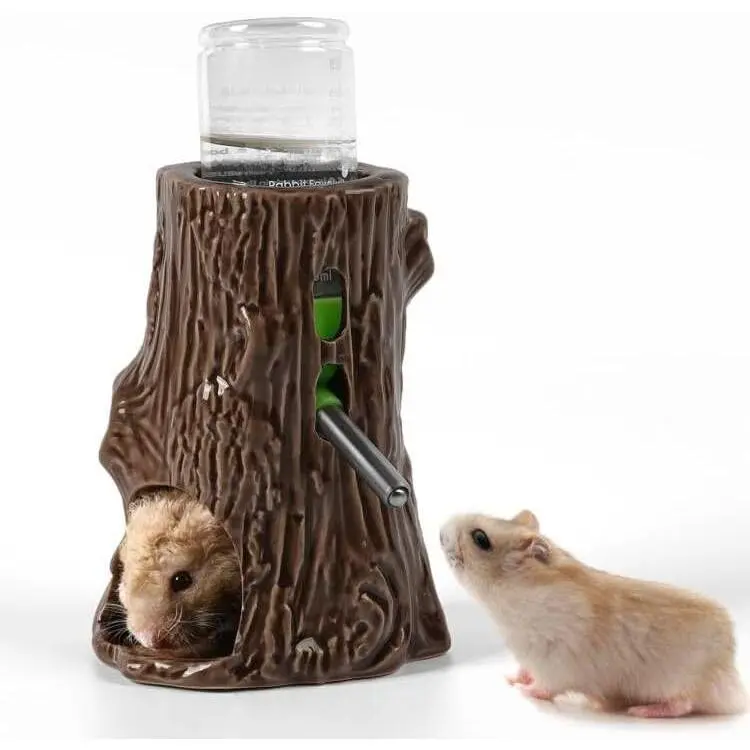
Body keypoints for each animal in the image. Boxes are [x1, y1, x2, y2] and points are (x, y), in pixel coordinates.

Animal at [440, 510, 747, 718]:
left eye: (480, 538)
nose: (440, 531)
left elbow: (546, 686)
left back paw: (642, 710)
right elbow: (525, 669)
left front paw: (523, 691)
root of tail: (732, 680)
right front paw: (512, 678)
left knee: (683, 703)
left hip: (679, 680)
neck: (508, 599)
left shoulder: (555, 662)